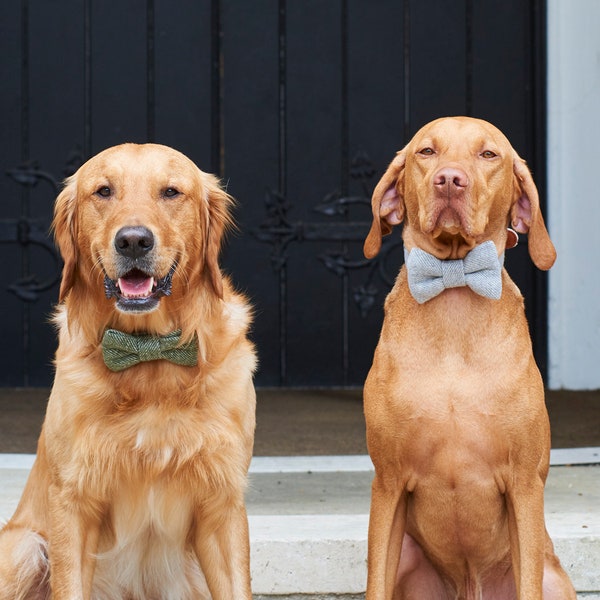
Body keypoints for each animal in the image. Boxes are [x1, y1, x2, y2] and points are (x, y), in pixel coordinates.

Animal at [360, 115, 576, 596]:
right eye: (427, 152)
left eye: (488, 154)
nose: (449, 181)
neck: (454, 286)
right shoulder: (388, 483)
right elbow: (375, 582)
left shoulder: (523, 486)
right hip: (407, 554)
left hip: (553, 574)